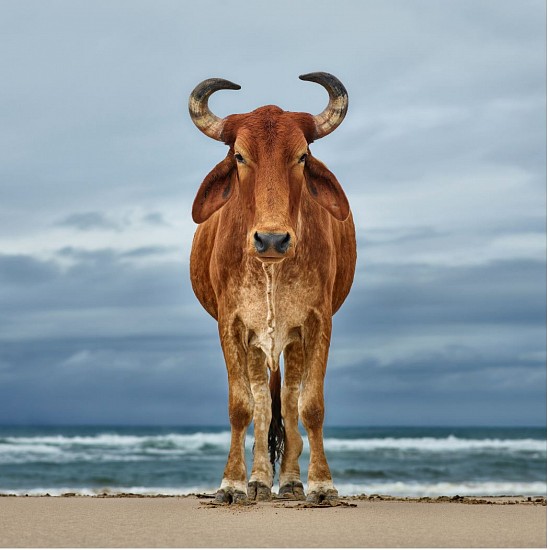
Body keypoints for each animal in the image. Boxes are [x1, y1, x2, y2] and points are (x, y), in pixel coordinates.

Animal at [188, 72, 358, 504]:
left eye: (301, 156)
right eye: (239, 157)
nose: (271, 239)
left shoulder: (317, 322)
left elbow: (310, 406)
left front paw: (321, 484)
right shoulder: (232, 325)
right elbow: (242, 407)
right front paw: (232, 483)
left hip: (292, 341)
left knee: (289, 404)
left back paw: (292, 481)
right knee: (265, 406)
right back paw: (260, 480)